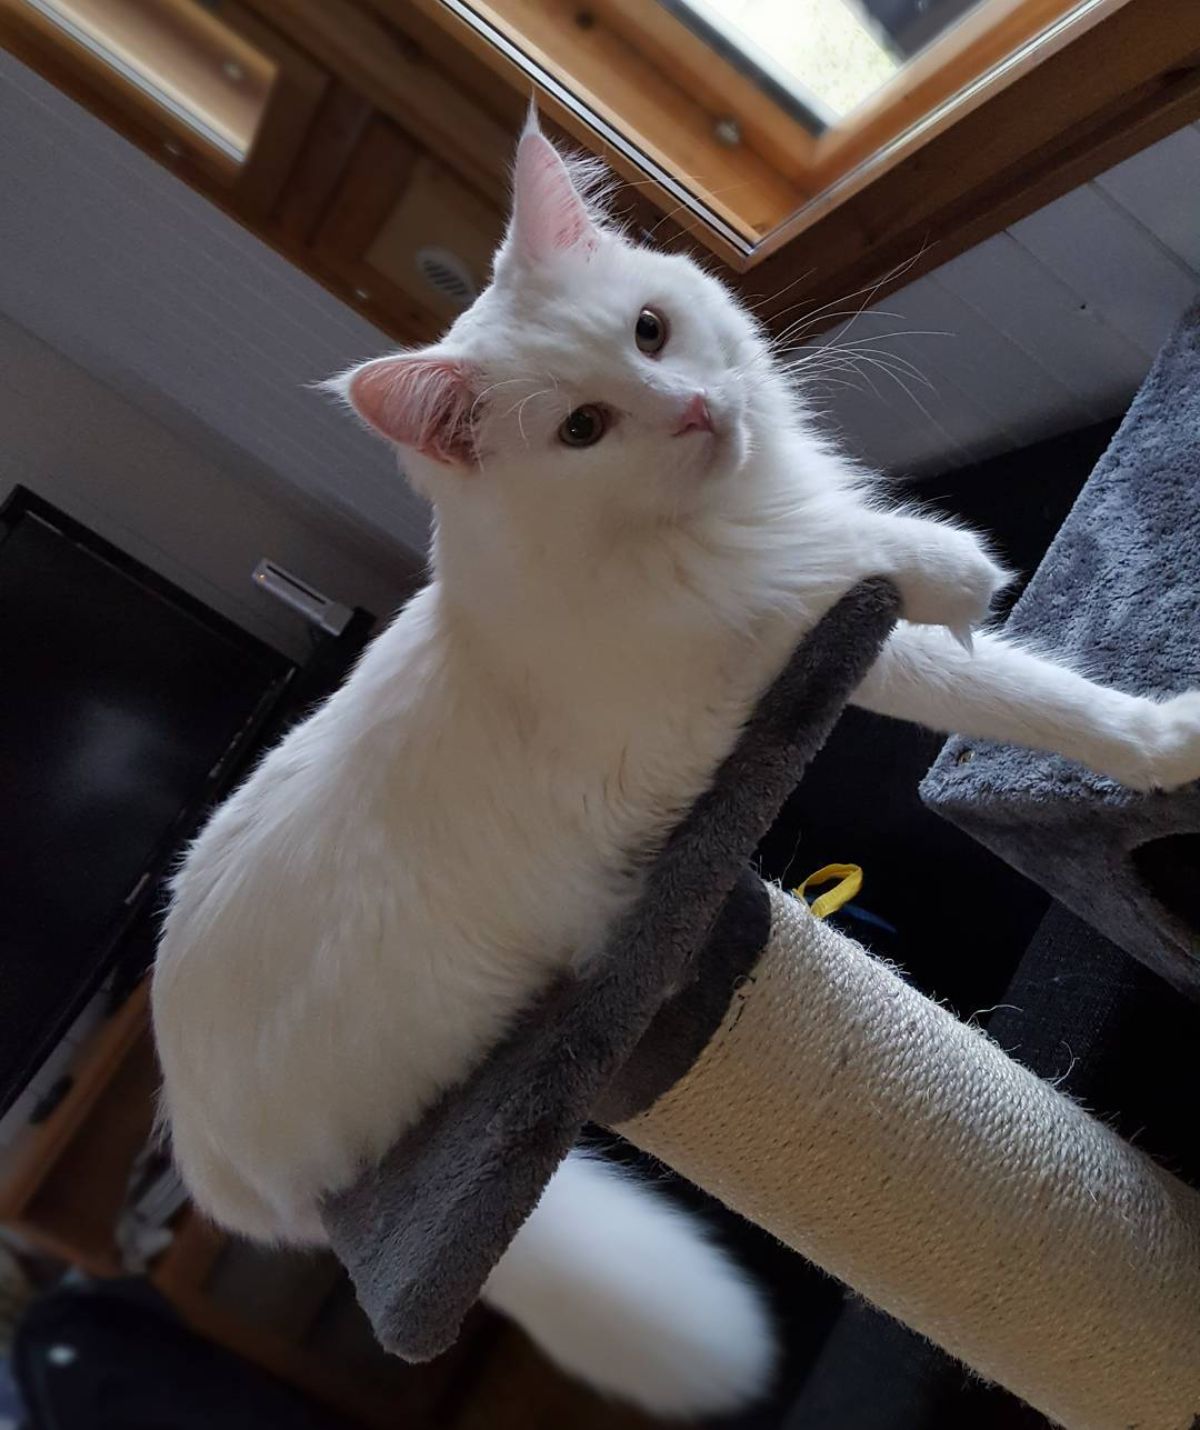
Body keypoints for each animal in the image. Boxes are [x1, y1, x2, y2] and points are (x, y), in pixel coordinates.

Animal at [155, 114, 1200, 1418]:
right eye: (584, 430)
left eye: (651, 331)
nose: (699, 408)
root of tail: (204, 1161)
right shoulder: (734, 678)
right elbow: (866, 594)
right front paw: (956, 563)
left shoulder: (832, 636)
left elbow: (1036, 696)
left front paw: (1165, 746)